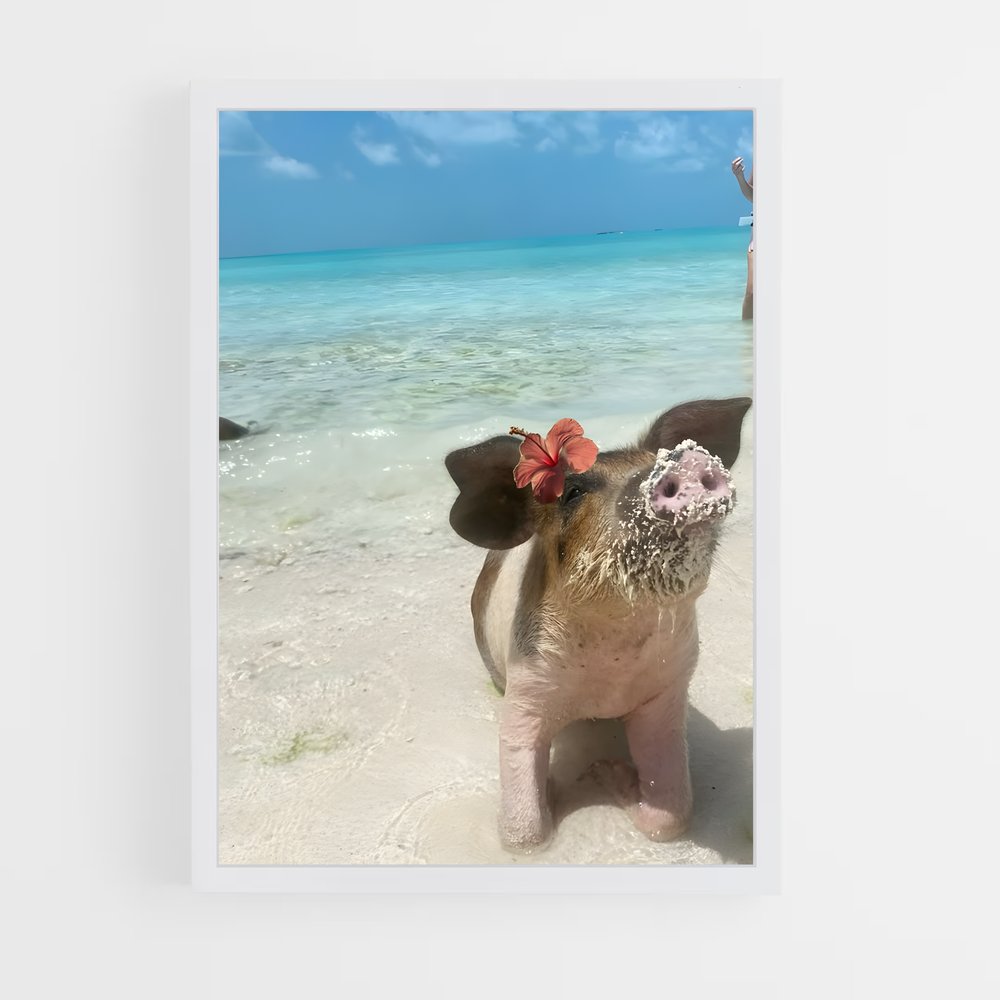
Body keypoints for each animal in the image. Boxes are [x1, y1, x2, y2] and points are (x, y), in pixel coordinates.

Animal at [445, 396, 751, 850]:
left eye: (659, 458)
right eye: (573, 492)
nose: (680, 465)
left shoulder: (668, 689)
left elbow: (672, 816)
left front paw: (606, 771)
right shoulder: (525, 689)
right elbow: (523, 832)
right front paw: (562, 787)